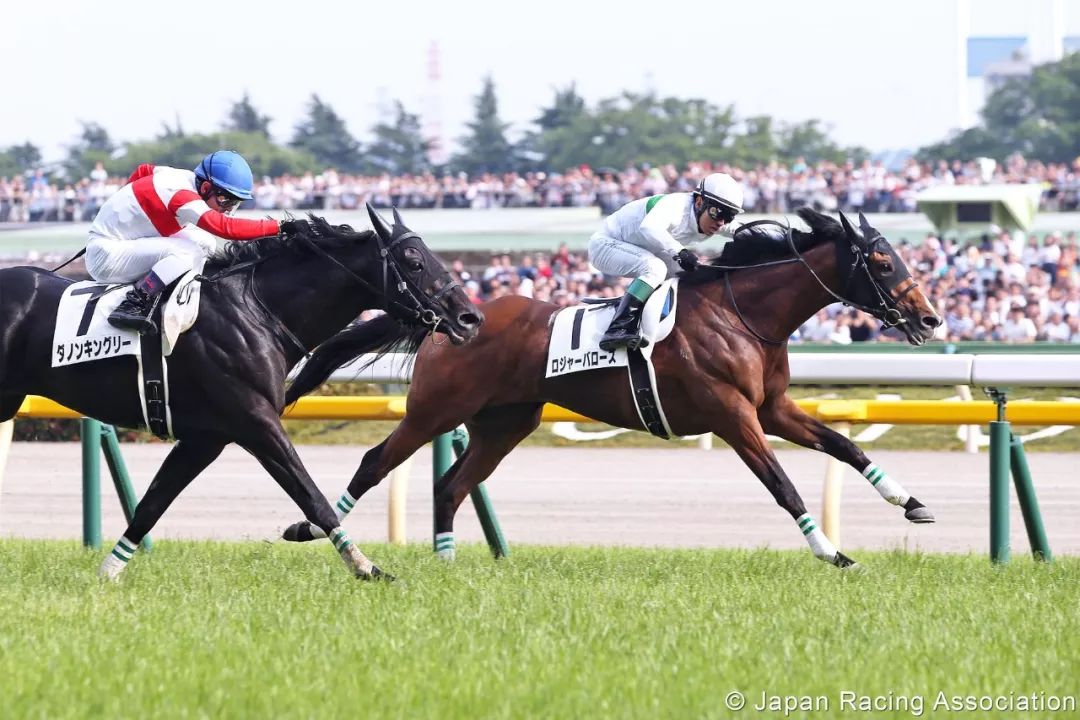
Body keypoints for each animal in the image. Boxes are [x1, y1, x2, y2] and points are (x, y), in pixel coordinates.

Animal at [0, 202, 481, 578]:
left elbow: (151, 505)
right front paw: (368, 567)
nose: (470, 317)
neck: (257, 311)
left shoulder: (207, 438)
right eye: (414, 261)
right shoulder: (255, 422)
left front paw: (109, 573)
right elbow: (312, 497)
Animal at [282, 205, 941, 569]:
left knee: (453, 484)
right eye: (883, 262)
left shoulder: (772, 408)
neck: (742, 314)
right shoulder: (732, 414)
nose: (931, 318)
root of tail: (454, 316)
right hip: (436, 410)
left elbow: (845, 446)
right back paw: (313, 528)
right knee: (375, 461)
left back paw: (445, 560)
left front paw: (910, 501)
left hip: (506, 420)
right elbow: (782, 484)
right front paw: (832, 552)